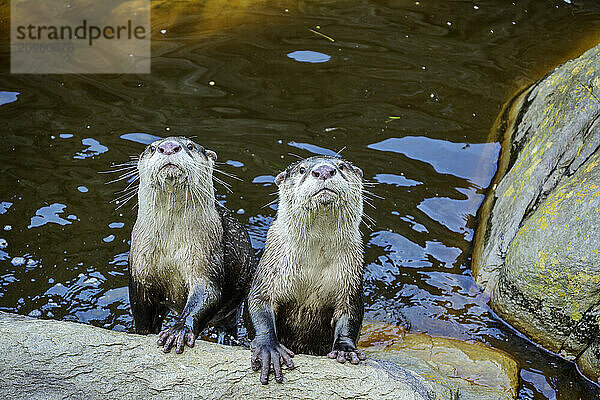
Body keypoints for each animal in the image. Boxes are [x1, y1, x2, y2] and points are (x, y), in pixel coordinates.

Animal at [127, 137, 254, 354]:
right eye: (152, 148)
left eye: (190, 146)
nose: (169, 147)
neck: (170, 244)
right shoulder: (140, 270)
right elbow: (141, 312)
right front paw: (144, 333)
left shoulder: (206, 256)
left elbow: (208, 292)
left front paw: (178, 330)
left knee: (227, 324)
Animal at [247, 155, 366, 384]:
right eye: (302, 169)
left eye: (341, 166)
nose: (324, 170)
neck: (313, 267)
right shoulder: (270, 272)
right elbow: (258, 302)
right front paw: (269, 348)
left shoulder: (351, 280)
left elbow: (350, 313)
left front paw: (345, 349)